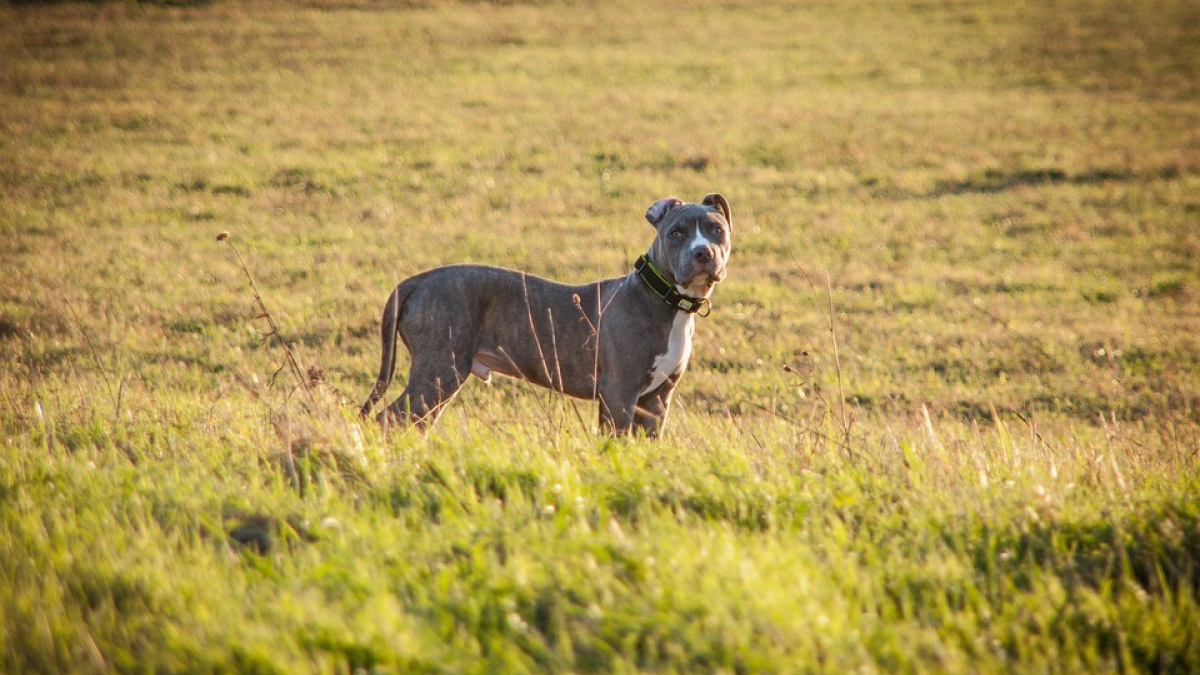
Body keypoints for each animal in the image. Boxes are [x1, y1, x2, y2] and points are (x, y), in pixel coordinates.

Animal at [355, 192, 729, 432]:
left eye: (717, 230)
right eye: (677, 233)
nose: (703, 253)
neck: (667, 301)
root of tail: (417, 279)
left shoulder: (656, 401)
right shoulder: (619, 395)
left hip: (438, 378)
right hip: (438, 371)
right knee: (388, 419)